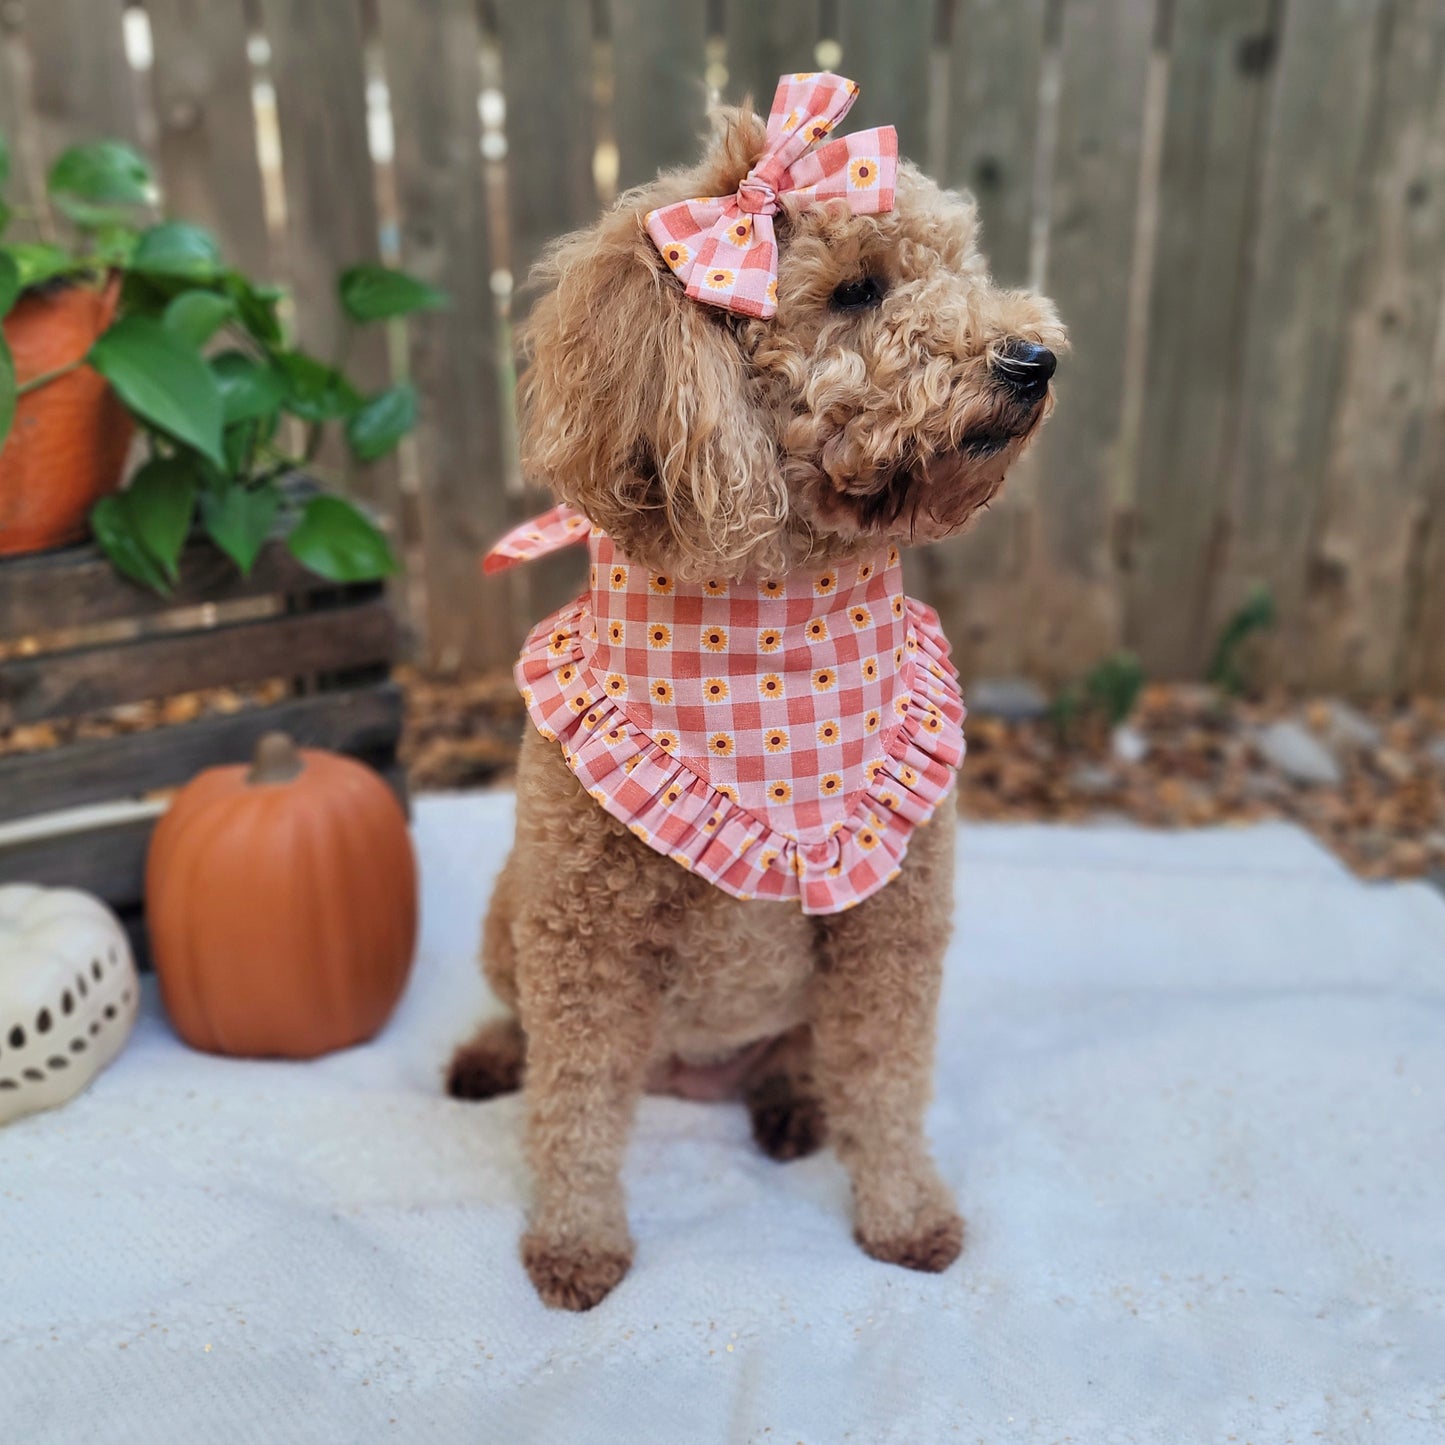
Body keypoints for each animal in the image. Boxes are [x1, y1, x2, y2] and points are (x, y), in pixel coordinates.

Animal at [445, 76, 1069, 1312]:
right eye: (857, 289)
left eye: (960, 266)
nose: (1033, 357)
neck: (771, 651)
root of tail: (687, 1076)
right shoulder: (581, 936)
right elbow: (572, 1101)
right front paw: (575, 1242)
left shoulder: (889, 926)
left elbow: (885, 1080)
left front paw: (904, 1214)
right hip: (508, 913)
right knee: (522, 1020)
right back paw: (495, 1054)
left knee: (804, 1059)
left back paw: (788, 1107)